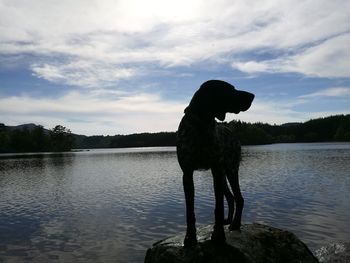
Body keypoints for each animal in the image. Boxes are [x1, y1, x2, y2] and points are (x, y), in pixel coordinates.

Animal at [176, 80, 253, 248]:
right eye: (229, 90)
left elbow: (218, 208)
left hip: (231, 170)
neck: (202, 126)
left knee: (239, 198)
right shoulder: (187, 173)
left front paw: (218, 236)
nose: (252, 95)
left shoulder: (216, 171)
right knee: (231, 197)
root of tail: (233, 132)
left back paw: (235, 224)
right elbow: (190, 211)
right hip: (224, 175)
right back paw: (228, 221)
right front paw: (190, 238)